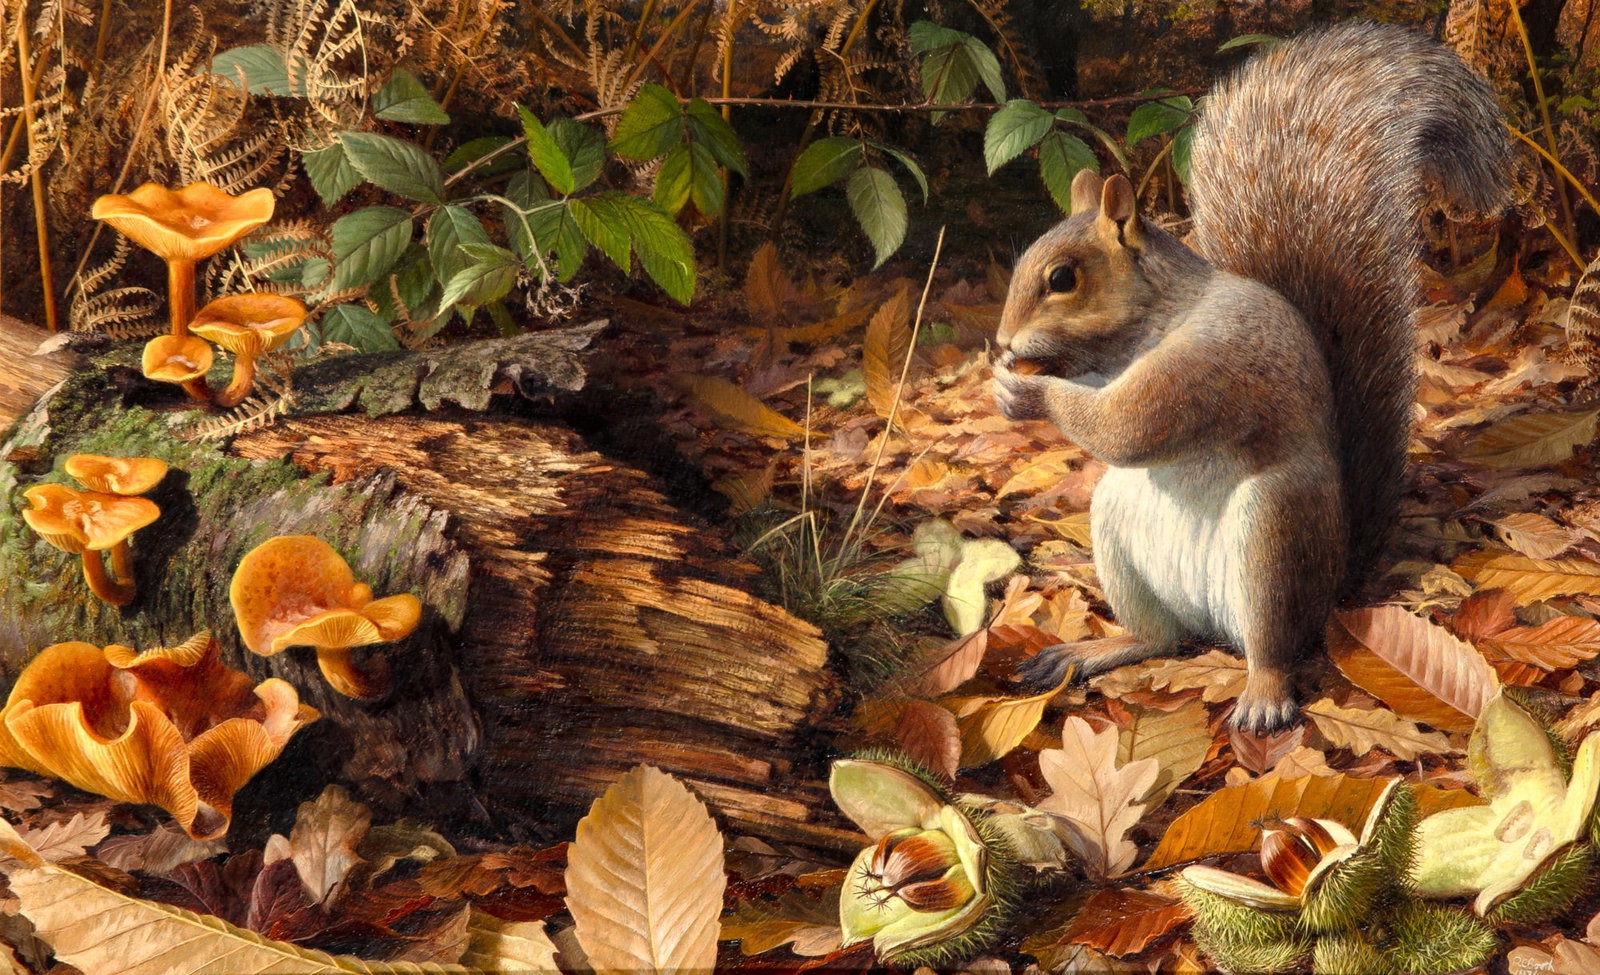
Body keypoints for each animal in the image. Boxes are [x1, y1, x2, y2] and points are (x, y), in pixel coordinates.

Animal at [992, 22, 1513, 731]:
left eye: (1063, 278)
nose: (1002, 342)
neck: (1152, 322)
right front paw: (1004, 379)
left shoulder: (1206, 362)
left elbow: (1129, 427)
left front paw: (1028, 390)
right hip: (1120, 530)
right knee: (1161, 638)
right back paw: (1095, 650)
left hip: (1274, 535)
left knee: (1272, 644)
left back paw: (1264, 696)